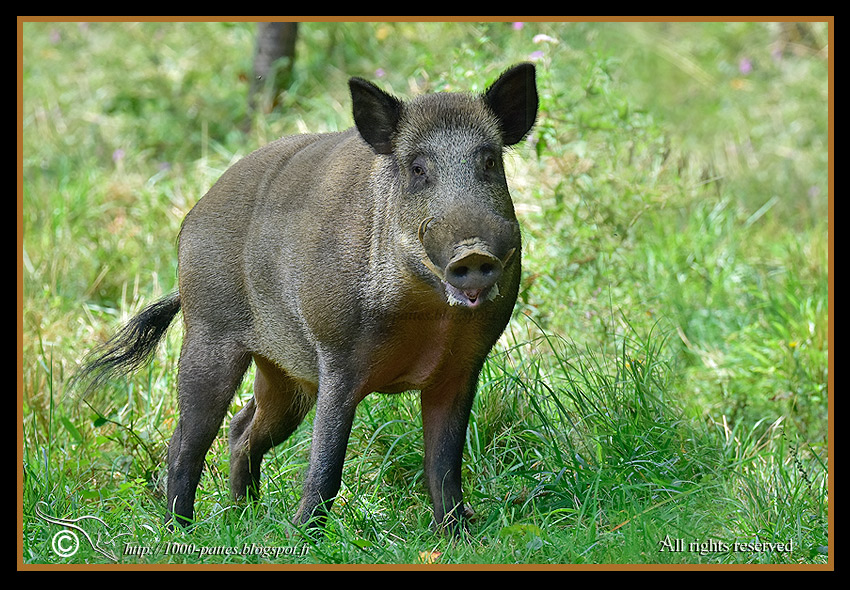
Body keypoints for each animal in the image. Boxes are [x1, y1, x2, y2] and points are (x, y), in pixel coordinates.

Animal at [76, 63, 538, 534]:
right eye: (417, 168)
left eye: (490, 161)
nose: (473, 252)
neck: (427, 315)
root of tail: (194, 214)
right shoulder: (337, 359)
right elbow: (327, 463)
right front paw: (304, 534)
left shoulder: (462, 367)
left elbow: (444, 465)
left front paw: (459, 535)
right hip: (208, 334)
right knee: (186, 444)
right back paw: (181, 531)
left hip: (283, 373)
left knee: (242, 429)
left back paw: (247, 517)